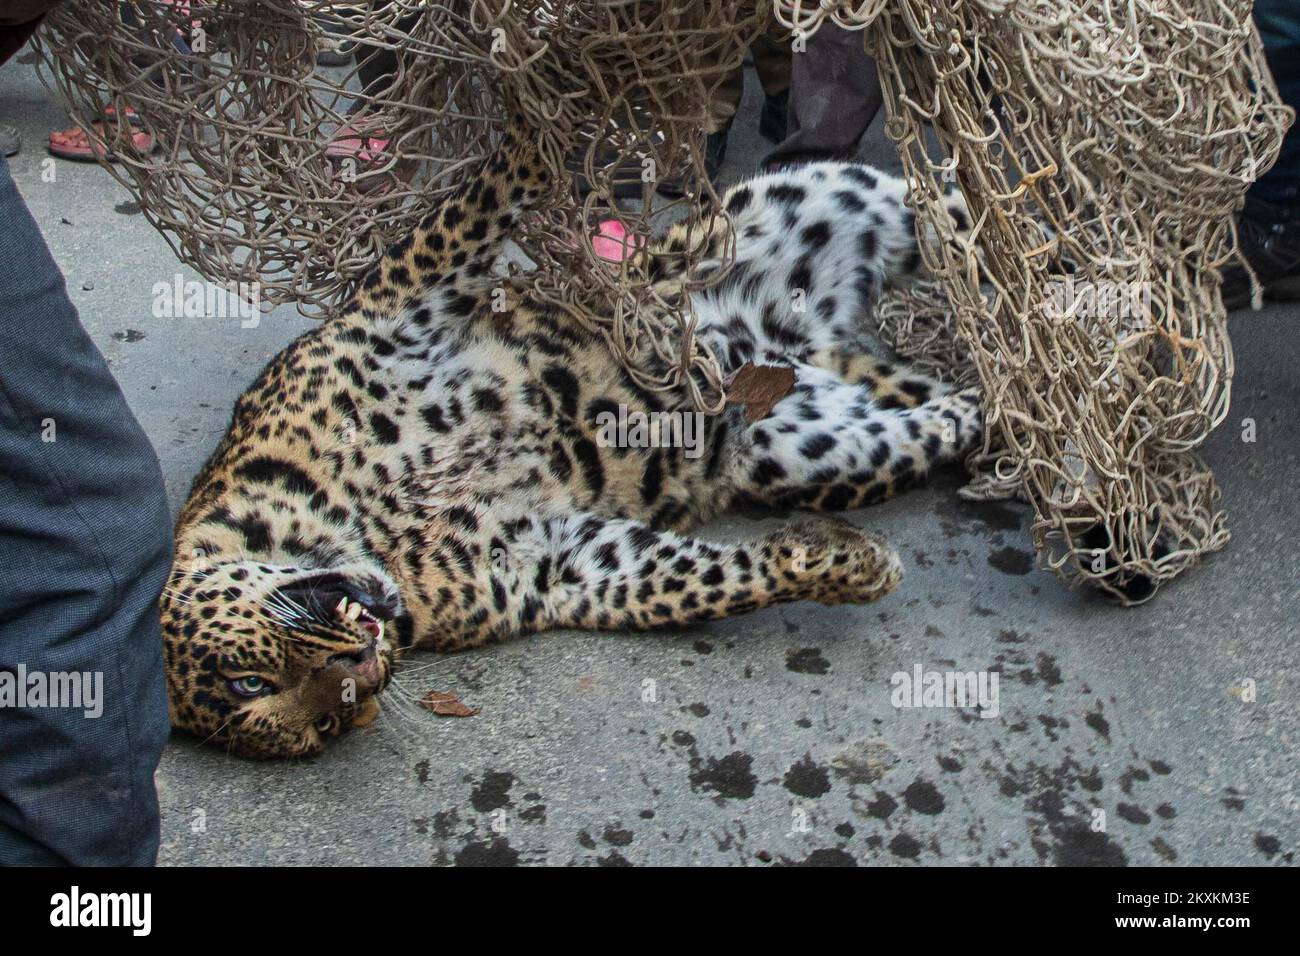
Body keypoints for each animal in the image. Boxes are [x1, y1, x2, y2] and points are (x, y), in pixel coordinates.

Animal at [159, 121, 977, 764]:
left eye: (247, 678)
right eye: (324, 719)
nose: (363, 670)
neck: (367, 528)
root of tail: (816, 344)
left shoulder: (398, 305)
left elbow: (482, 196)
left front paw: (549, 88)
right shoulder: (559, 563)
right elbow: (704, 580)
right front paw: (846, 566)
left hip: (807, 202)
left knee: (963, 215)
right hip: (802, 441)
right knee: (948, 410)